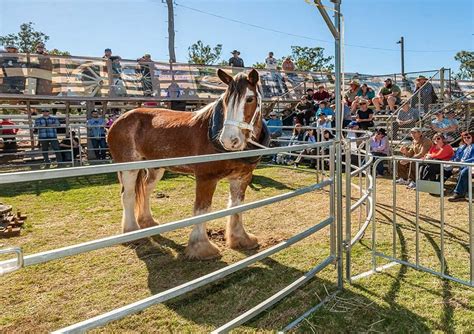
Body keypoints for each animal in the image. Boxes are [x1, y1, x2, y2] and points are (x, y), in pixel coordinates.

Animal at [108, 68, 270, 260]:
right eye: (225, 100)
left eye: (249, 99)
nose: (229, 141)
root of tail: (118, 120)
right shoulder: (206, 178)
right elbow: (201, 210)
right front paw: (202, 248)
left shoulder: (242, 177)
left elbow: (236, 207)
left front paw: (241, 239)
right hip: (129, 168)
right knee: (128, 195)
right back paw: (132, 231)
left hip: (155, 168)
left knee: (146, 190)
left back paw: (148, 222)